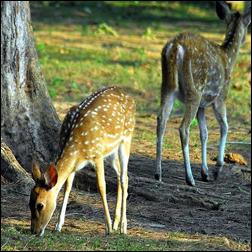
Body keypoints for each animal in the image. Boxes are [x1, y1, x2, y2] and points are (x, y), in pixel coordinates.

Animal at [29, 86, 136, 236]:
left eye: (40, 205)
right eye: (29, 203)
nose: (34, 231)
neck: (77, 149)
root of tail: (126, 94)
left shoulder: (97, 155)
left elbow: (101, 186)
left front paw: (108, 227)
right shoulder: (75, 165)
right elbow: (67, 187)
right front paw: (58, 225)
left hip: (126, 138)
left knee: (124, 177)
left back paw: (122, 226)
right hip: (111, 152)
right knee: (121, 175)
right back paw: (116, 223)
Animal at [155, 0, 251, 186]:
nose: (245, 40)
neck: (228, 58)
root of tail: (175, 46)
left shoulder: (202, 106)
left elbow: (204, 134)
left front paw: (205, 172)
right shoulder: (221, 96)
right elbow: (224, 126)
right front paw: (217, 168)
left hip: (167, 86)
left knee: (161, 120)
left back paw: (158, 174)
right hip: (195, 89)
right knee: (183, 128)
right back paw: (190, 178)